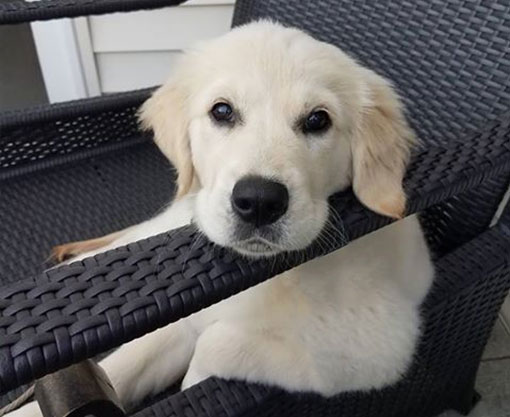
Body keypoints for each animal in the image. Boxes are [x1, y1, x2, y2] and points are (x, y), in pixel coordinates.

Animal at [8, 20, 433, 416]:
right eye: (222, 111)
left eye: (318, 120)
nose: (259, 201)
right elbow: (125, 363)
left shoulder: (373, 347)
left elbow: (215, 343)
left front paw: (193, 381)